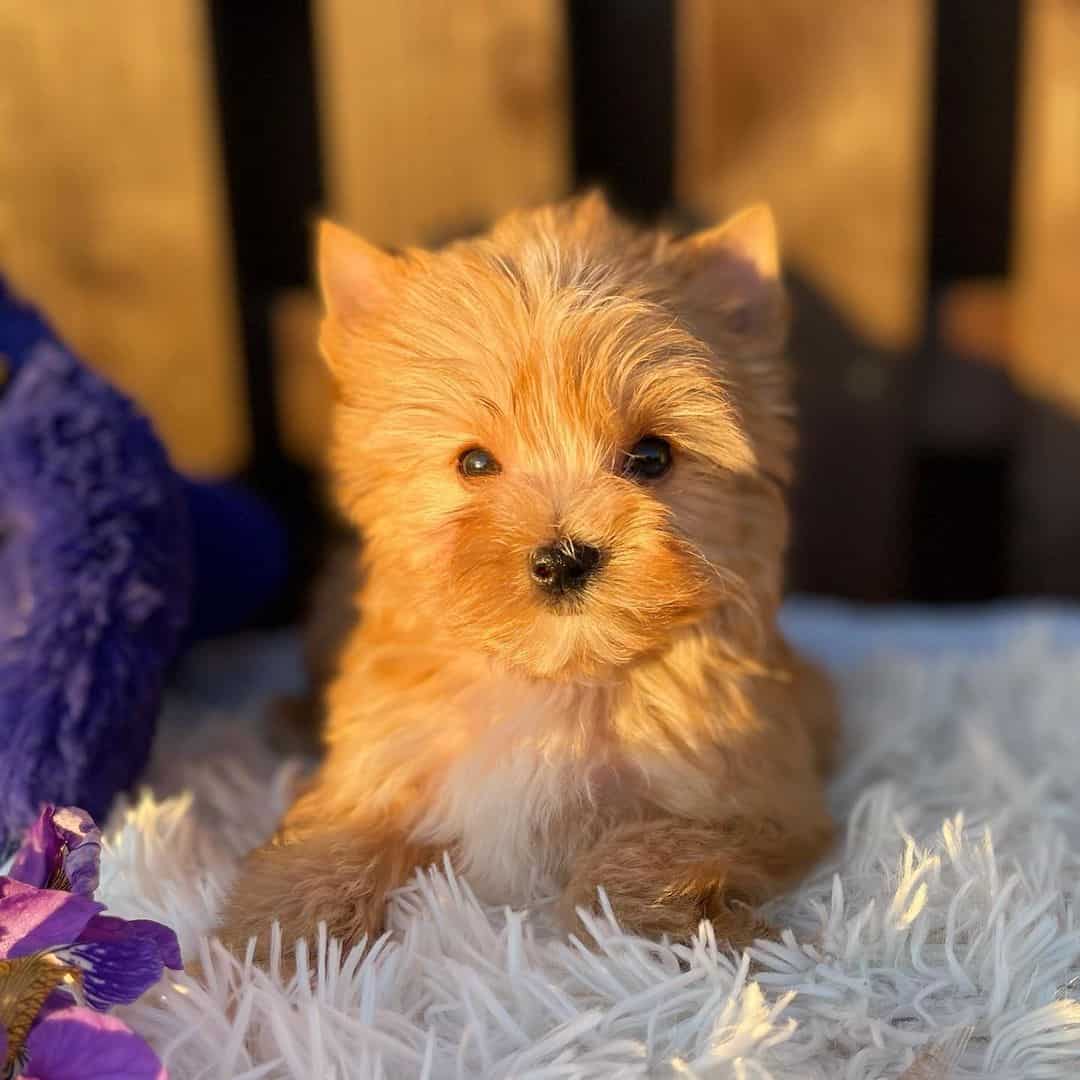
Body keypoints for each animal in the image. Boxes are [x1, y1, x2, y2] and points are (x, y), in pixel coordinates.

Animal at [217, 192, 833, 963]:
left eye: (652, 457)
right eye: (475, 464)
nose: (564, 557)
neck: (553, 678)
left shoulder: (752, 791)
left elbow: (652, 847)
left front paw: (660, 928)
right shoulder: (380, 758)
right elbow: (332, 839)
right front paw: (275, 941)